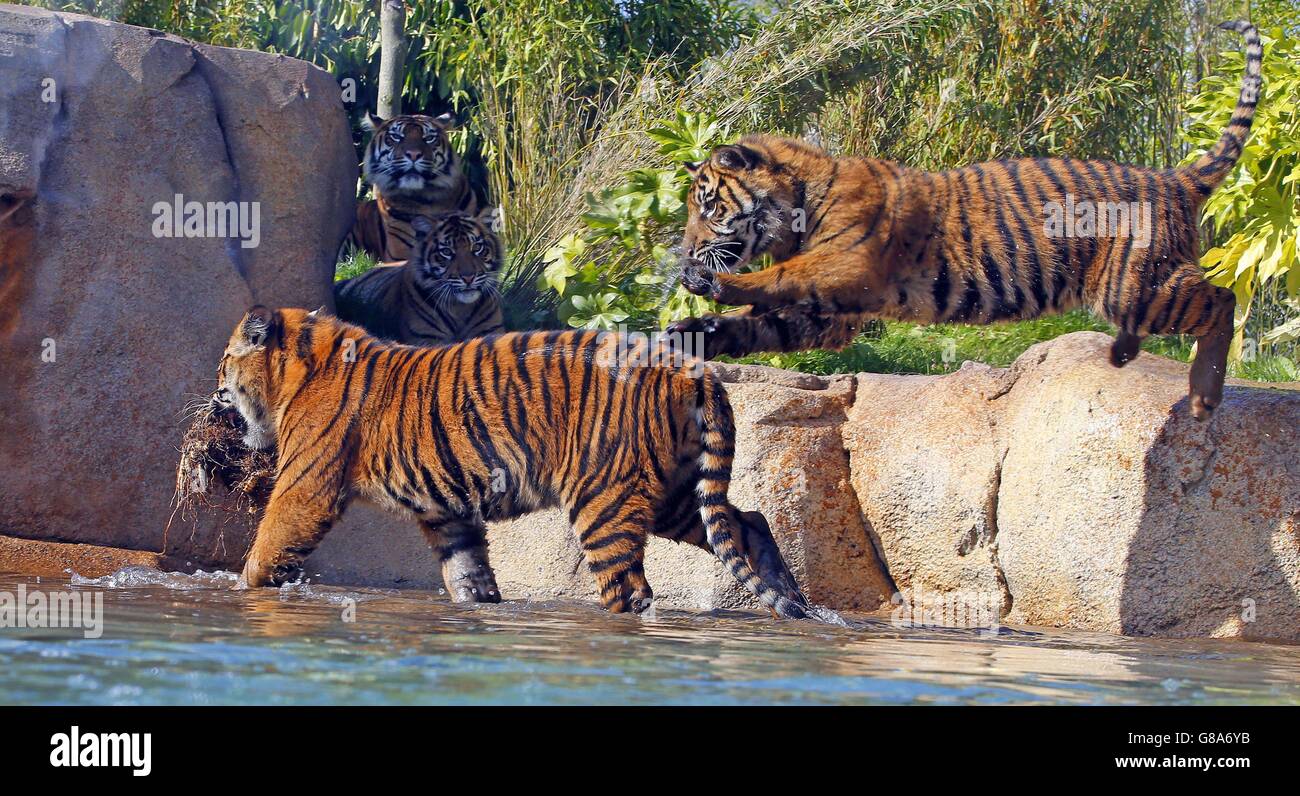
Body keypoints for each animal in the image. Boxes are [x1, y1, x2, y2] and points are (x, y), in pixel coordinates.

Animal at [209, 303, 806, 616]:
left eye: (223, 362)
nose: (213, 391)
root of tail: (689, 366)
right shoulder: (448, 513)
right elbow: (467, 571)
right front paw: (481, 603)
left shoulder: (305, 488)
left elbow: (265, 548)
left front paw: (239, 592)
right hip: (673, 492)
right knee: (749, 521)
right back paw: (790, 599)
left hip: (604, 497)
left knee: (629, 588)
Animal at [332, 212, 504, 345]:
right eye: (446, 252)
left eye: (477, 248)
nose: (468, 277)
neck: (461, 308)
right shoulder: (427, 339)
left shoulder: (491, 331)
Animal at [670, 20, 1258, 424]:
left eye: (709, 207)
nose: (687, 253)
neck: (797, 205)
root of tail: (1177, 177)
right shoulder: (832, 312)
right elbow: (757, 321)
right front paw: (691, 333)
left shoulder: (847, 267)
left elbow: (774, 279)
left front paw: (708, 283)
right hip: (1135, 288)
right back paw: (1123, 353)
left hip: (1136, 287)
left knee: (1223, 300)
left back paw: (1203, 396)